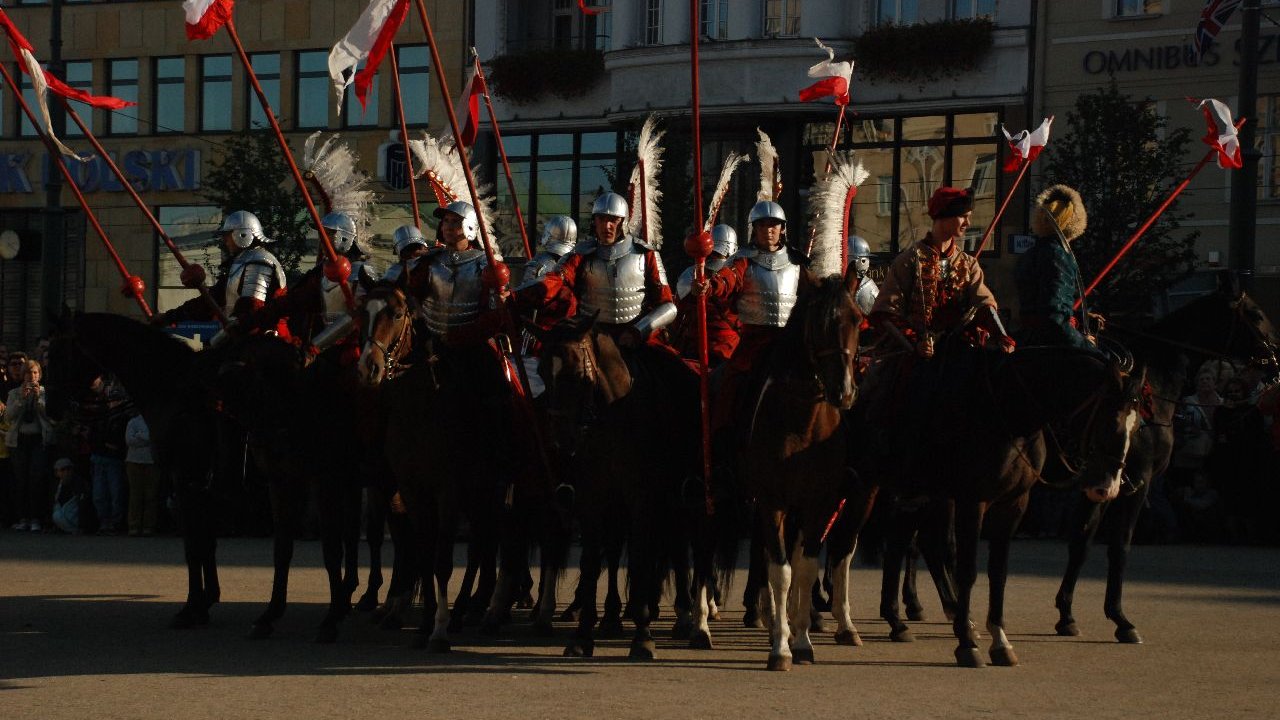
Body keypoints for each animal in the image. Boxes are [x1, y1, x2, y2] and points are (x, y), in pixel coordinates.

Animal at [849, 333, 1152, 666]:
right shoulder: (972, 501)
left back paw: (898, 620)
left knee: (901, 545)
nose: (1108, 487)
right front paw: (967, 644)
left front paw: (999, 639)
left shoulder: (1013, 505)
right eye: (1111, 422)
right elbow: (968, 569)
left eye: (1137, 425)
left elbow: (998, 571)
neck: (1009, 413)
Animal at [1049, 278, 1280, 640]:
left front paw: (1066, 614)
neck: (1151, 390)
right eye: (1255, 314)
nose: (1275, 358)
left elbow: (1082, 542)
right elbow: (1120, 545)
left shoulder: (1098, 484)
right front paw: (1121, 619)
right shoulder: (1135, 481)